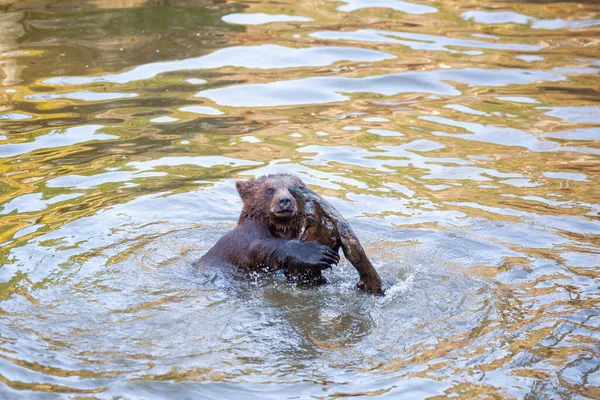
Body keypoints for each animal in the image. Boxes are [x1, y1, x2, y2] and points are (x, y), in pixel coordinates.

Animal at [195, 173, 340, 282]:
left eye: (294, 189)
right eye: (270, 189)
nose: (285, 200)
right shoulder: (246, 241)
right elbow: (265, 246)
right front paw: (321, 254)